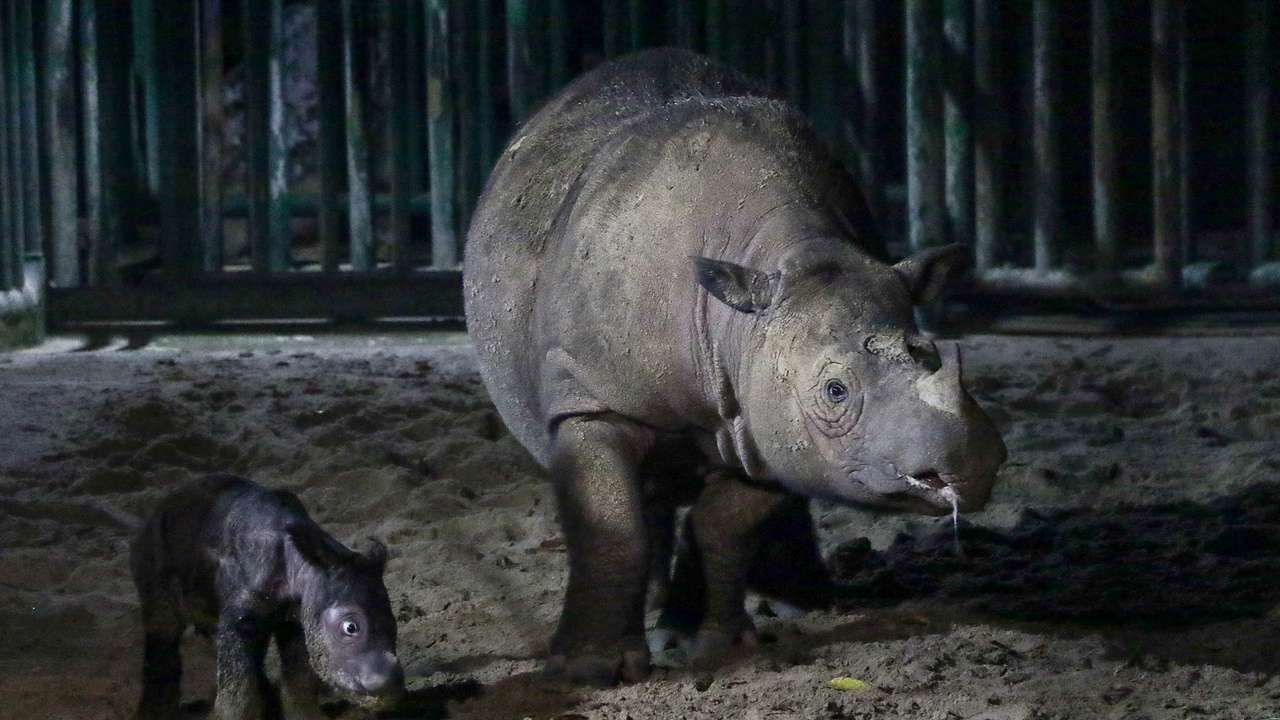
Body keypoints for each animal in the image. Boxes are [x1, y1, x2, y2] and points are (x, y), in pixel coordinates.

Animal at [464, 48, 1007, 685]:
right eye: (834, 391)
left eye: (930, 355)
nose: (973, 465)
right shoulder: (591, 396)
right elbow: (612, 525)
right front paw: (591, 668)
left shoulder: (769, 416)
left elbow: (726, 521)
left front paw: (703, 644)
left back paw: (795, 603)